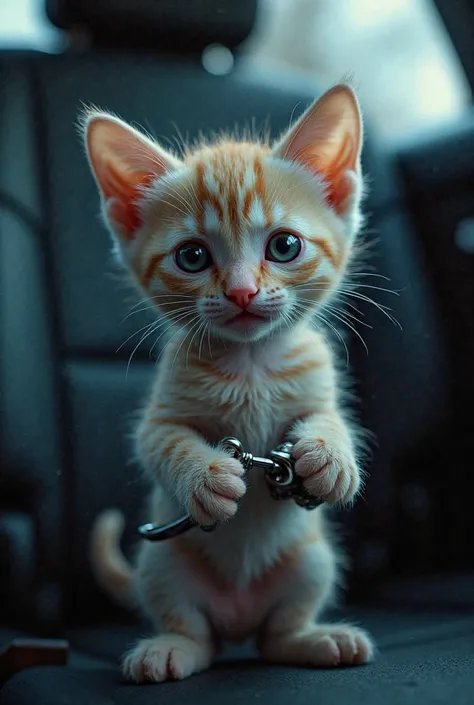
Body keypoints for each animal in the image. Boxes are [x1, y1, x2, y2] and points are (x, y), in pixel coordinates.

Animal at [84, 84, 374, 680]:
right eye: (192, 256)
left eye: (284, 246)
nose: (242, 292)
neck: (251, 365)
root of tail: (238, 619)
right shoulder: (160, 415)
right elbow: (163, 444)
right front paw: (204, 477)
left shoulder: (319, 383)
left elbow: (330, 420)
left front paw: (331, 457)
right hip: (162, 562)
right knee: (198, 633)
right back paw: (171, 649)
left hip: (312, 559)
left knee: (275, 637)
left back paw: (315, 639)